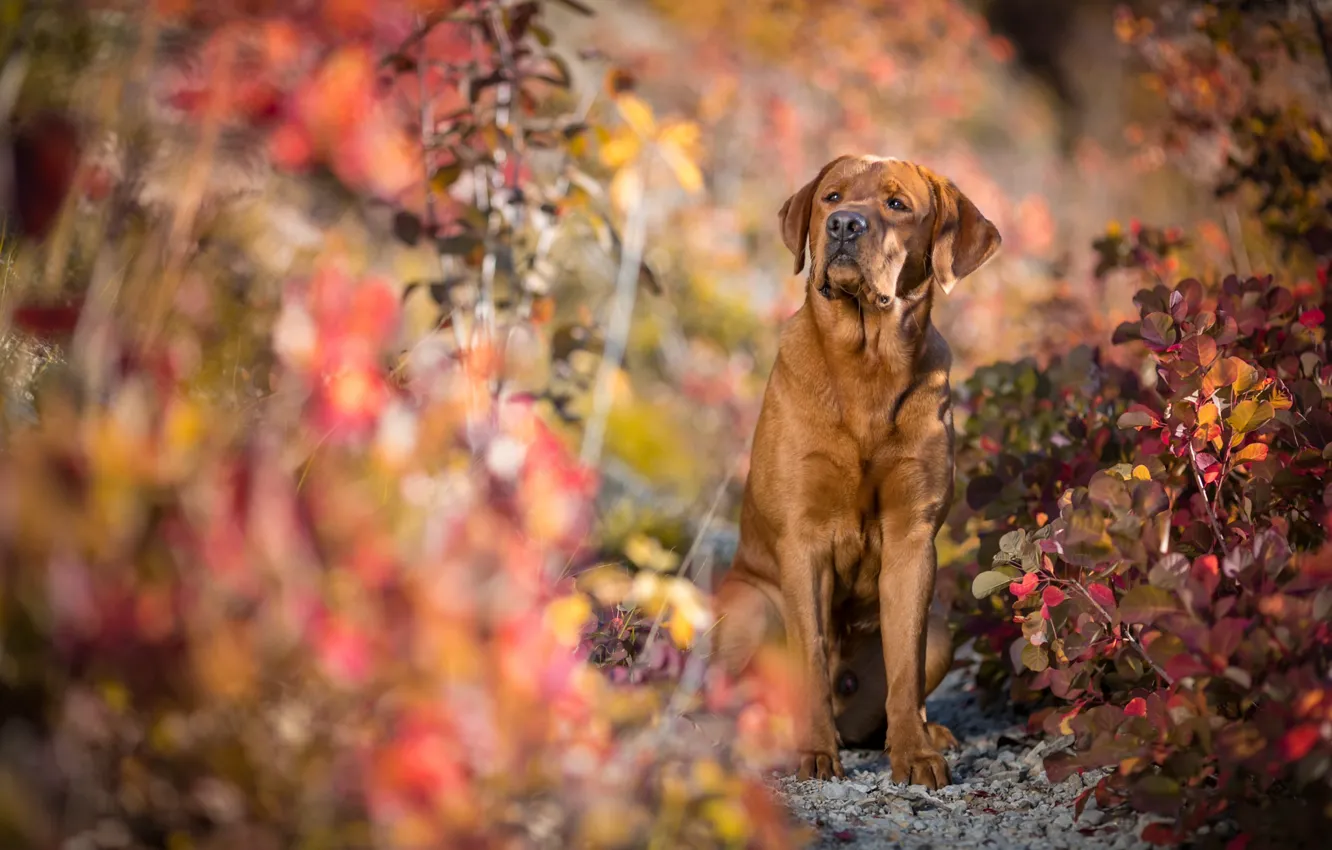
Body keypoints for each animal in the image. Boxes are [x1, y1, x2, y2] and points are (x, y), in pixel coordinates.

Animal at [719, 156, 1001, 788]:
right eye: (831, 196)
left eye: (897, 205)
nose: (845, 225)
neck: (866, 365)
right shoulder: (803, 538)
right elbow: (812, 657)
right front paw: (814, 752)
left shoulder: (912, 538)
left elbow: (904, 671)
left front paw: (915, 755)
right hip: (747, 609)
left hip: (942, 633)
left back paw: (926, 731)